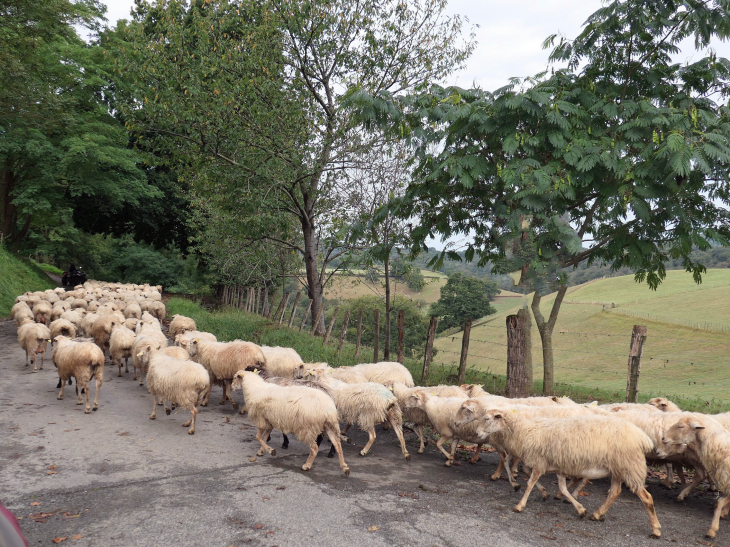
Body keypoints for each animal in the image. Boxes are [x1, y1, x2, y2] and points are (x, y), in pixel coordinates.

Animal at [470, 408, 664, 536]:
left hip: (630, 466)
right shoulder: (557, 465)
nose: (477, 433)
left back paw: (655, 529)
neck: (524, 431)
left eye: (487, 419)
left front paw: (520, 505)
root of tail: (642, 437)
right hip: (618, 469)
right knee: (615, 492)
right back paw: (597, 514)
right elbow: (562, 488)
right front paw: (579, 509)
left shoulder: (540, 462)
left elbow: (530, 483)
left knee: (646, 498)